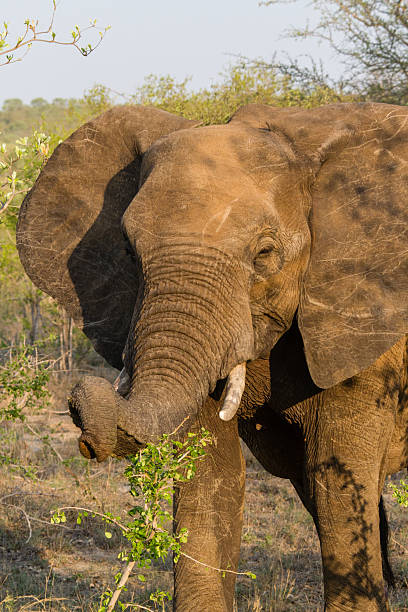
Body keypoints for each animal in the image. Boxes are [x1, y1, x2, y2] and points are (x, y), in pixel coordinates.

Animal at [16, 103, 408, 608]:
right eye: (129, 252)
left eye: (264, 254)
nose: (82, 401)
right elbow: (211, 477)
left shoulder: (361, 327)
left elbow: (335, 481)